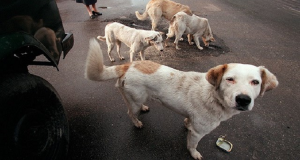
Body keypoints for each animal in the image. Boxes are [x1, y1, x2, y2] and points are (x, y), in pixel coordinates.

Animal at [84, 38, 278, 159]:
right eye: (229, 79)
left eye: (255, 82)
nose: (243, 99)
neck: (213, 96)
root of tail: (128, 65)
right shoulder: (198, 132)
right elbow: (192, 145)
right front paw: (194, 154)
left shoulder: (192, 121)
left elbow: (187, 122)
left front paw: (186, 124)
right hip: (134, 101)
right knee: (130, 113)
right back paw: (137, 122)